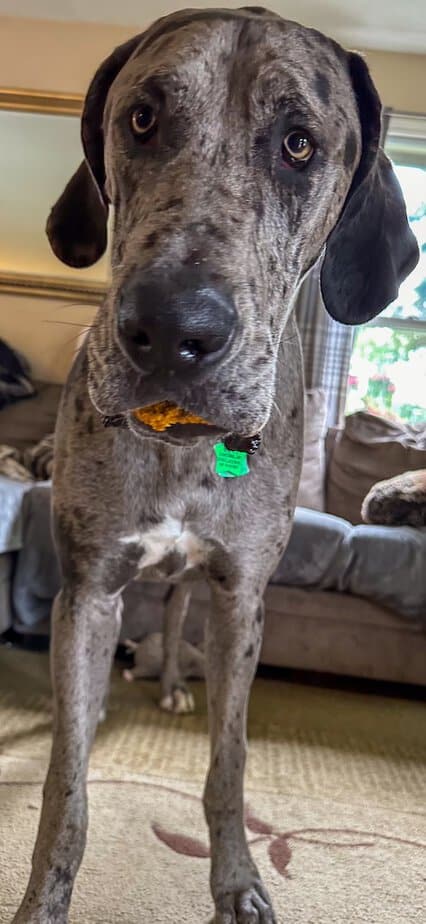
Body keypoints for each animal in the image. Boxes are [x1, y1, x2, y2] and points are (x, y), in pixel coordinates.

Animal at [11, 7, 418, 924]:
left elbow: (228, 765)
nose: (171, 331)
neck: (183, 444)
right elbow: (67, 783)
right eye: (141, 119)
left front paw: (238, 883)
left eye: (299, 144)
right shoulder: (90, 589)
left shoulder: (241, 601)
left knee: (175, 613)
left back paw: (168, 680)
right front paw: (44, 899)